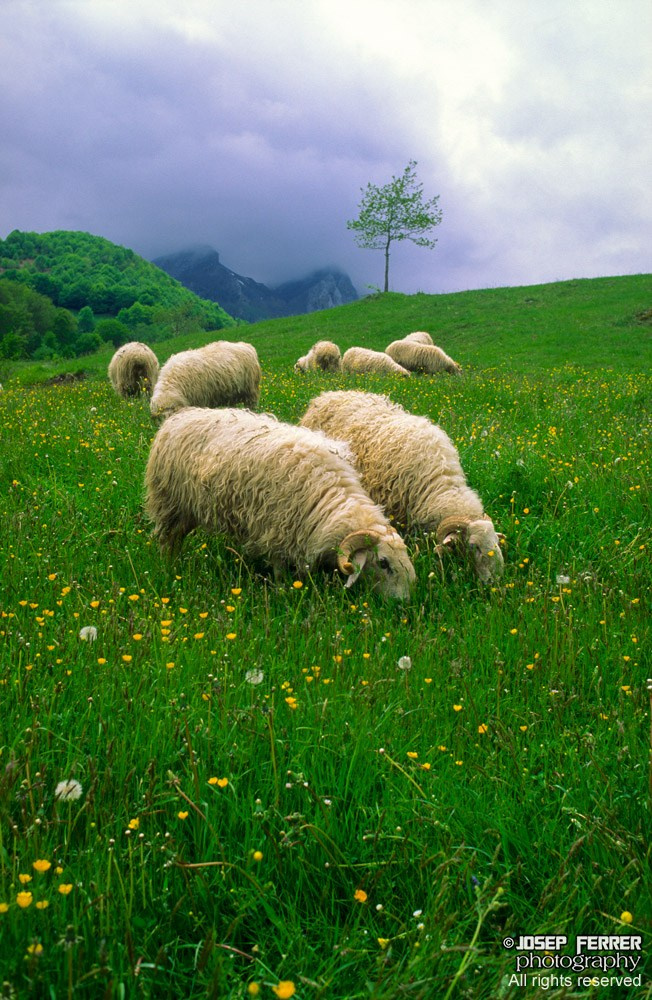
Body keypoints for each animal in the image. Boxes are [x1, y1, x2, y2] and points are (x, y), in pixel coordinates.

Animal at [144, 406, 416, 599]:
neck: (329, 501)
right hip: (170, 502)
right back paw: (169, 568)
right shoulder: (275, 529)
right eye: (383, 563)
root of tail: (177, 417)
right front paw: (283, 592)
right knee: (167, 539)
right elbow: (279, 570)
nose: (404, 603)